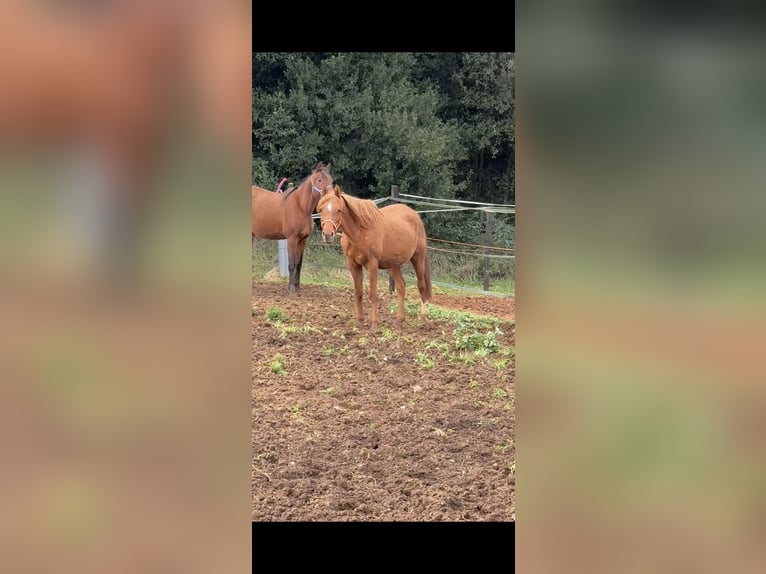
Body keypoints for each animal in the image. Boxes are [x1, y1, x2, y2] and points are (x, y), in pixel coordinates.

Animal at [252, 162, 334, 293]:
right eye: (319, 180)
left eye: (331, 180)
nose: (331, 197)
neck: (301, 207)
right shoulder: (291, 239)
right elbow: (291, 264)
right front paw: (291, 288)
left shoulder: (303, 240)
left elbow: (298, 264)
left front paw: (297, 286)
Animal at [317, 185, 432, 330]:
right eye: (321, 209)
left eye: (339, 210)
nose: (327, 235)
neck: (360, 232)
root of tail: (414, 215)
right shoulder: (353, 265)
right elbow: (358, 292)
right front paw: (360, 322)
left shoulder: (372, 264)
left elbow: (372, 293)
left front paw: (374, 324)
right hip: (394, 265)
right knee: (401, 287)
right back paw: (399, 321)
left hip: (418, 258)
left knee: (421, 285)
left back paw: (424, 319)